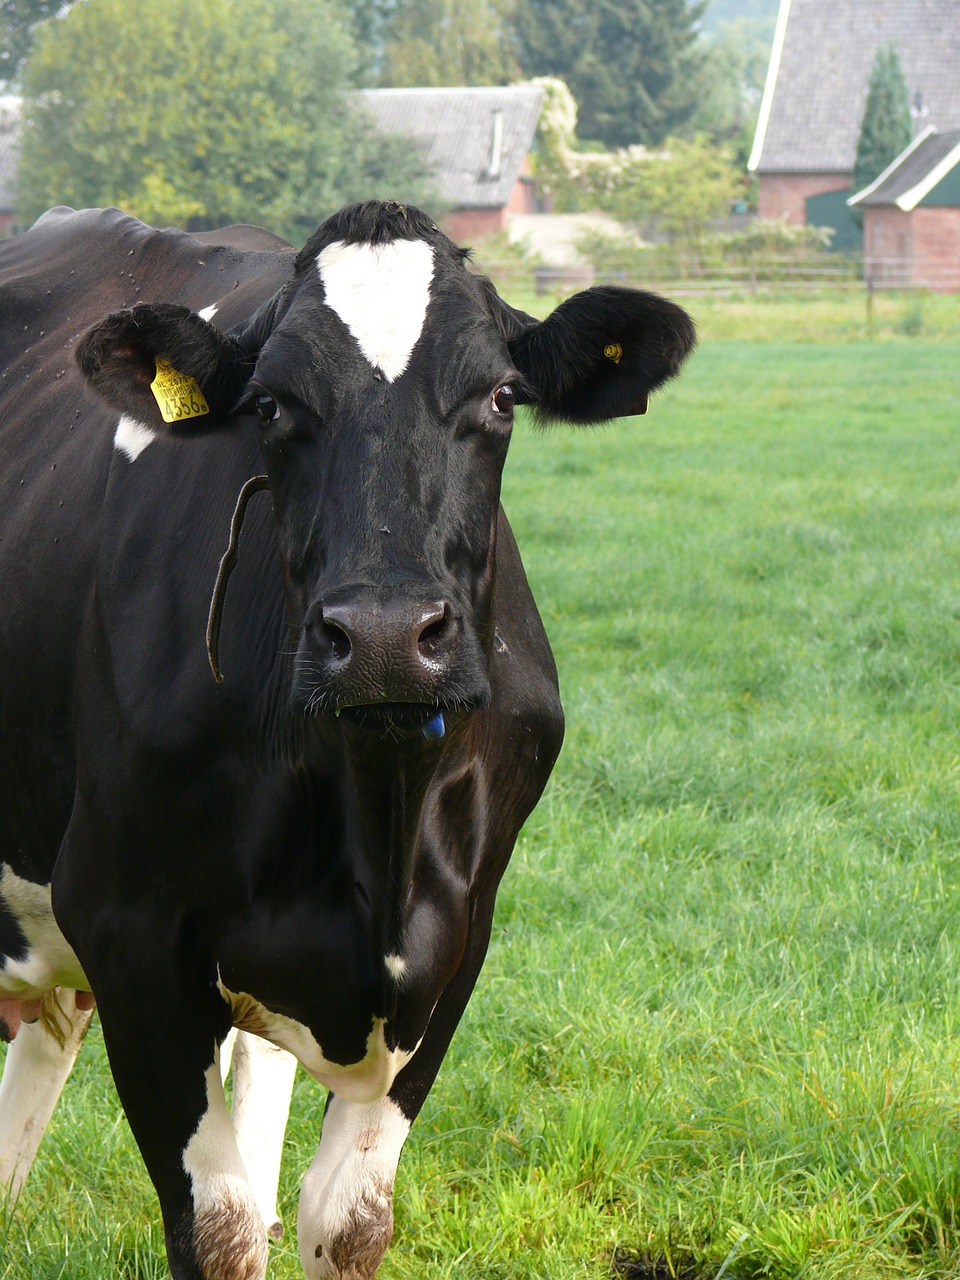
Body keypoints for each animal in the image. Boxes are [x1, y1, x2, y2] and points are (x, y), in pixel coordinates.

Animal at [0, 204, 691, 1274]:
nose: (384, 637)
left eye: (501, 397)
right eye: (272, 406)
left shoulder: (460, 936)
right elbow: (220, 1227)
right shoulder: (127, 925)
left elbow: (347, 1217)